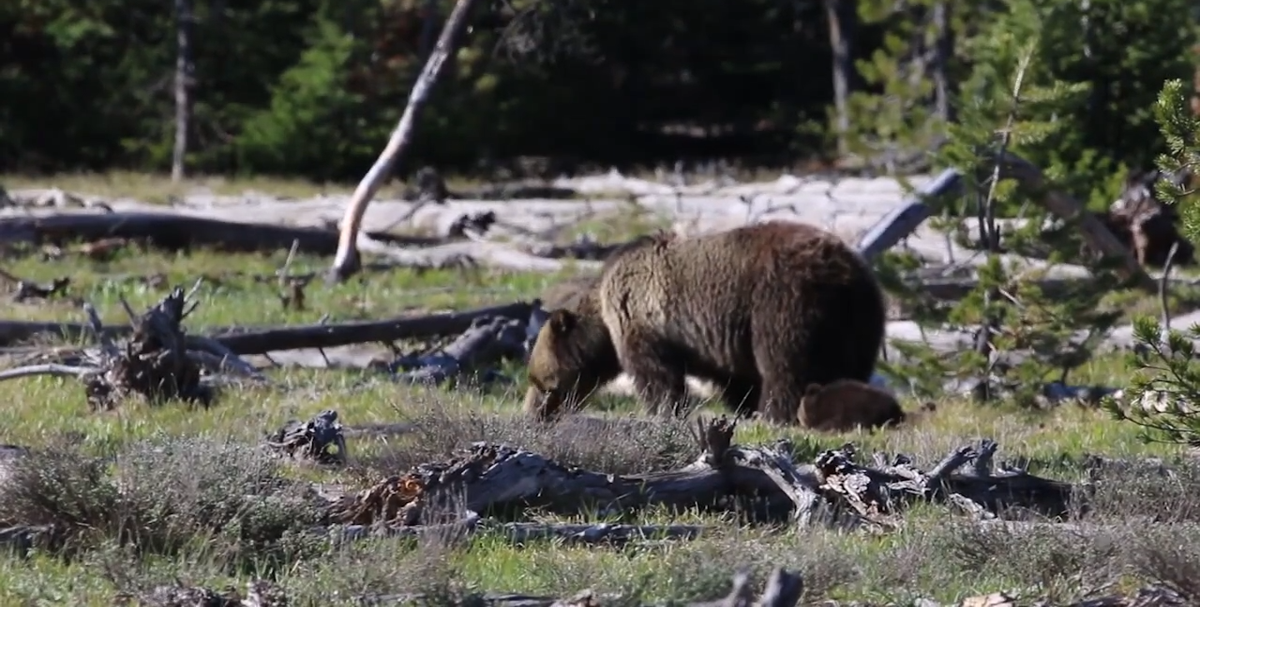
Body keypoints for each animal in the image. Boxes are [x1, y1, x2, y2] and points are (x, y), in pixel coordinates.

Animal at [523, 220, 888, 424]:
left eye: (543, 383)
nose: (534, 414)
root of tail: (843, 272)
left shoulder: (645, 320)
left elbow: (656, 375)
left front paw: (664, 410)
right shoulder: (723, 339)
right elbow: (736, 379)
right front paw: (743, 407)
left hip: (782, 302)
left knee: (784, 364)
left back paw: (776, 413)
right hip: (861, 316)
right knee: (851, 366)